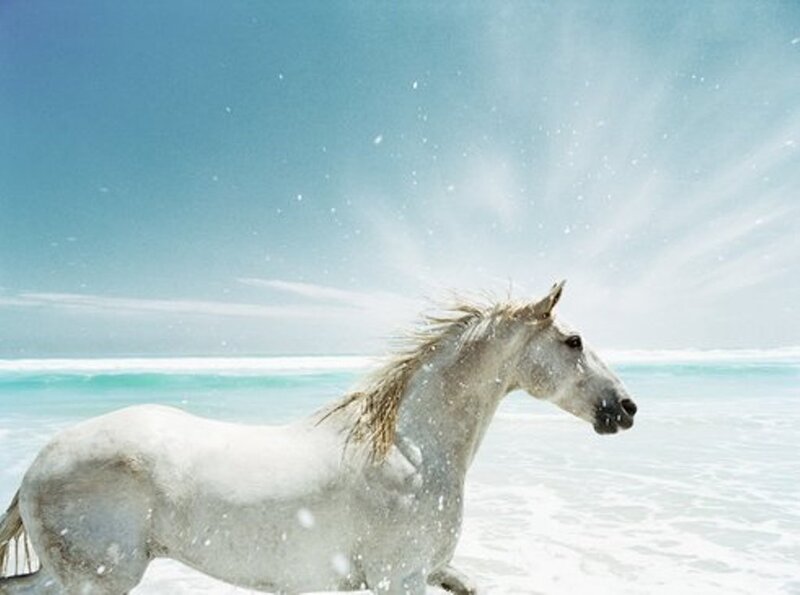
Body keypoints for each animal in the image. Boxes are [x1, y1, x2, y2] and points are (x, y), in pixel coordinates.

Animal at [0, 281, 637, 594]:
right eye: (574, 341)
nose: (626, 409)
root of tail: (38, 465)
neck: (413, 452)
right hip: (100, 582)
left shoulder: (431, 573)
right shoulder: (398, 581)